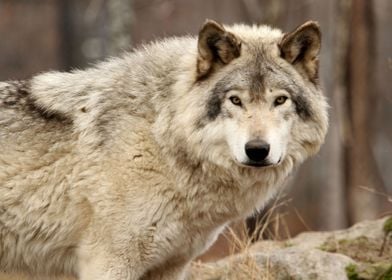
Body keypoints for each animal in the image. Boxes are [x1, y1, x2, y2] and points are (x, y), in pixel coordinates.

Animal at [0, 20, 328, 280]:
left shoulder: (171, 265)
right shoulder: (108, 262)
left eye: (280, 100)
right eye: (235, 100)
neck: (160, 136)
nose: (258, 150)